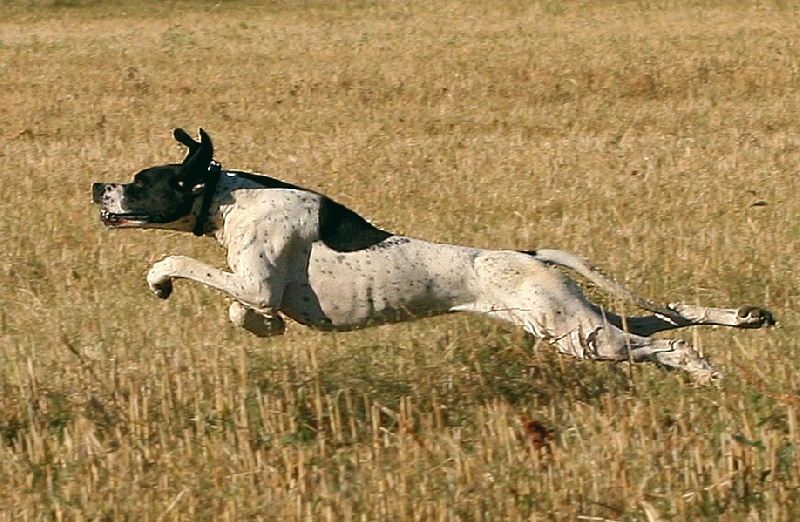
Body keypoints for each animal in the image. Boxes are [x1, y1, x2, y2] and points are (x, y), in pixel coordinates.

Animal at [94, 128, 776, 380]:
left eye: (142, 181)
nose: (97, 186)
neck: (225, 196)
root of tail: (528, 253)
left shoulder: (254, 279)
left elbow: (181, 265)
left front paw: (160, 279)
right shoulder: (254, 289)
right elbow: (246, 312)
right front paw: (260, 328)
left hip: (579, 336)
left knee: (669, 342)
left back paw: (706, 372)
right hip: (570, 319)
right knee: (663, 317)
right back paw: (743, 319)